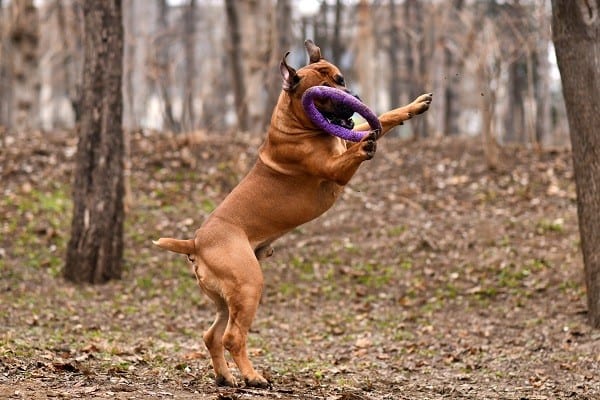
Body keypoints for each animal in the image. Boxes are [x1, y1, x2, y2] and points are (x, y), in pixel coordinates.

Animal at [155, 40, 432, 388]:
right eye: (322, 94)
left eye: (340, 79)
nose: (353, 97)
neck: (297, 124)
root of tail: (194, 243)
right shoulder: (335, 169)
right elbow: (359, 147)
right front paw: (367, 143)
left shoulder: (345, 141)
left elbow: (382, 118)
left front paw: (414, 106)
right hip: (249, 285)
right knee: (233, 337)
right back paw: (253, 377)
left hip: (224, 299)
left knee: (211, 335)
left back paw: (225, 377)